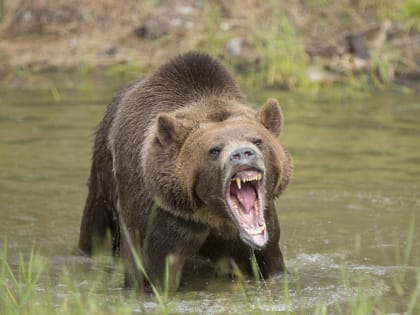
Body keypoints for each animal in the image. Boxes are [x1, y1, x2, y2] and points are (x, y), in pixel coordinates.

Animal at [79, 51, 296, 292]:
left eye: (257, 141)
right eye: (214, 150)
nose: (242, 153)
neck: (212, 214)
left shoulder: (260, 229)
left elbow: (269, 262)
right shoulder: (160, 217)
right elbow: (151, 272)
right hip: (104, 180)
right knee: (96, 230)